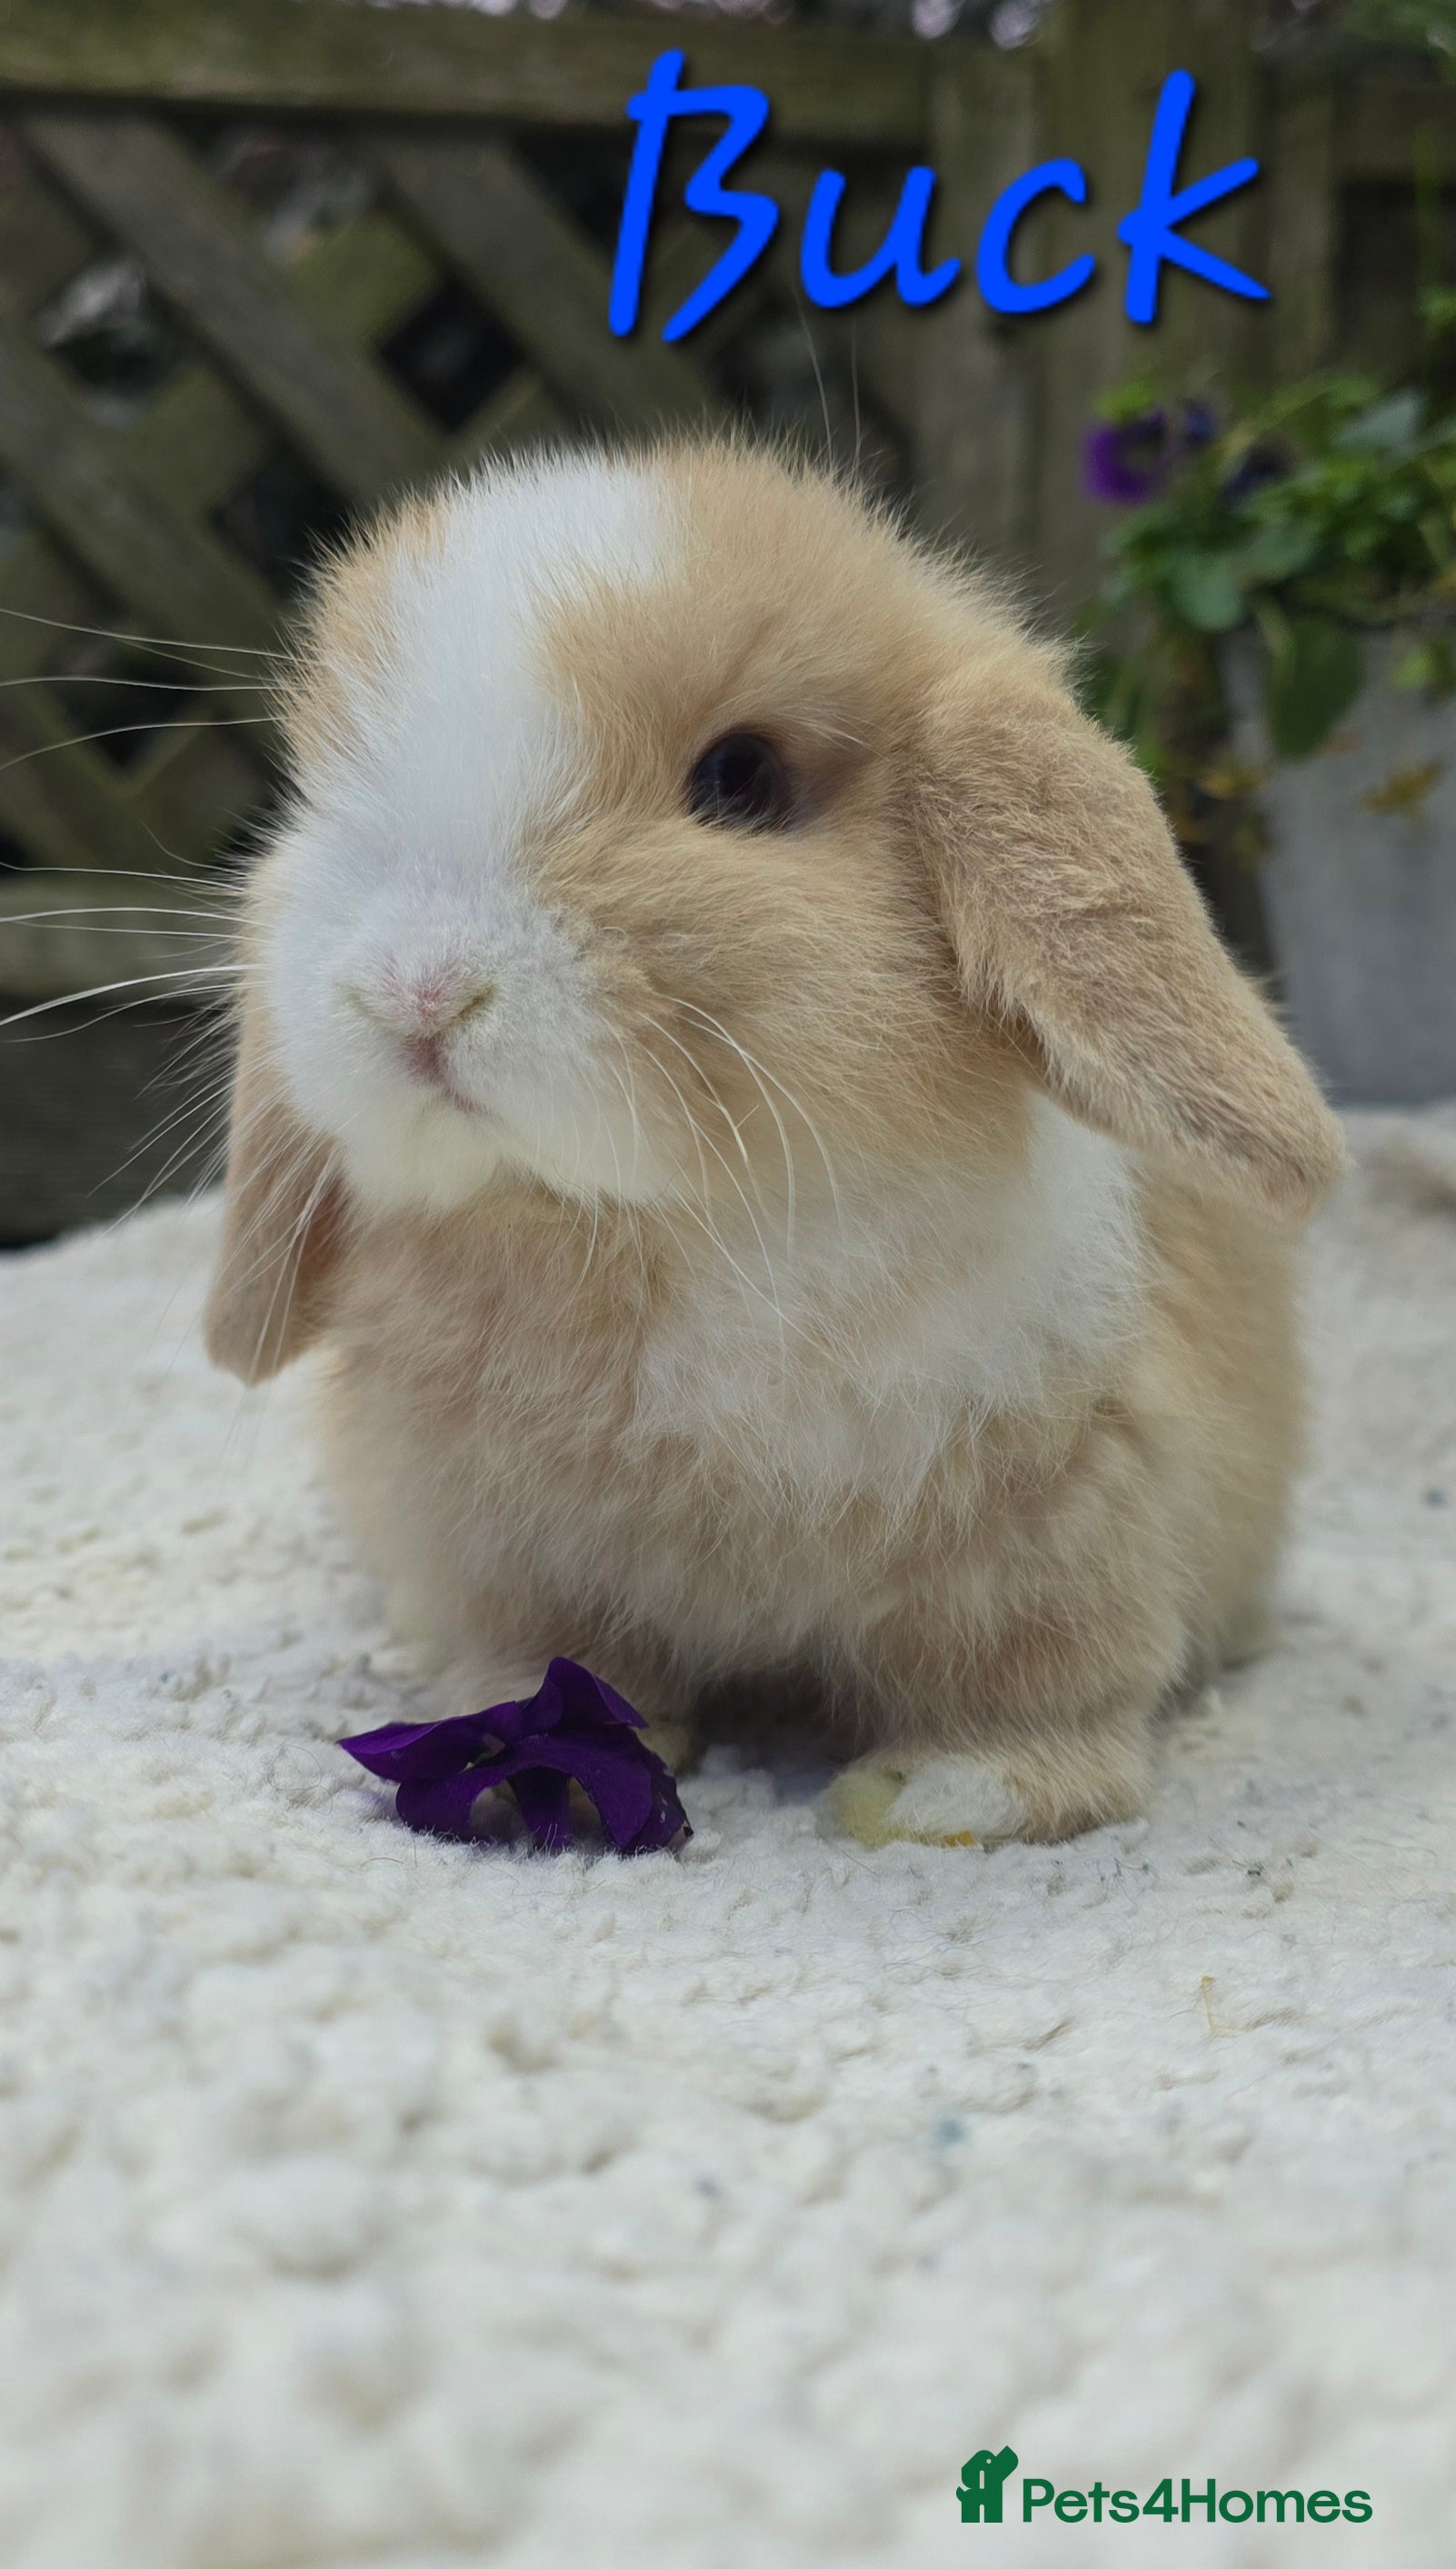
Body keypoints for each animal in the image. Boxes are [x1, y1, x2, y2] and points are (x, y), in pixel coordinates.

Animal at [204, 442, 1344, 1847]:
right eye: (330, 790)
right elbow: (550, 1661)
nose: (417, 992)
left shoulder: (1062, 1515)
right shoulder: (510, 1548)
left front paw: (945, 1796)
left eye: (739, 779)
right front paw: (518, 1760)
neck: (671, 1232)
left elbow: (1035, 1681)